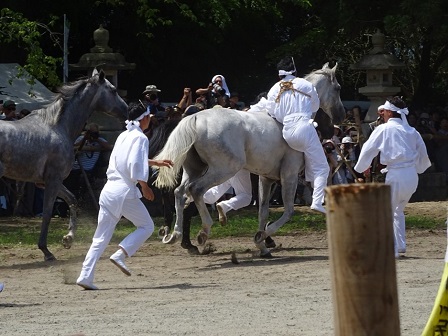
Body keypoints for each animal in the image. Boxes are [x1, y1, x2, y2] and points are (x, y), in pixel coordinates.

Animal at [0, 70, 127, 260]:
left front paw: (68, 239)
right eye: (113, 90)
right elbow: (47, 213)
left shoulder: (46, 182)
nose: (127, 110)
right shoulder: (53, 180)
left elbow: (72, 200)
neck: (59, 127)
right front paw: (46, 251)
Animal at [156, 63, 344, 258]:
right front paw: (262, 237)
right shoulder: (289, 175)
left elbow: (263, 211)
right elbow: (288, 211)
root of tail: (195, 117)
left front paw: (263, 246)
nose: (339, 118)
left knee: (180, 193)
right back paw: (203, 232)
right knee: (195, 190)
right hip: (223, 169)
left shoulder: (267, 179)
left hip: (195, 170)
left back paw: (174, 235)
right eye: (338, 88)